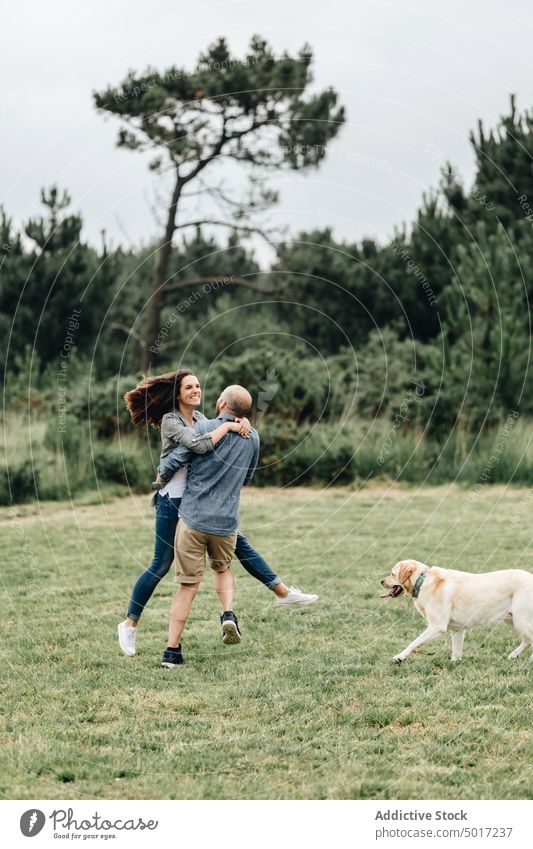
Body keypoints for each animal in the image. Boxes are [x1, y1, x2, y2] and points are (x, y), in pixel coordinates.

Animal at [378, 560, 532, 664]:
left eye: (392, 574)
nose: (381, 581)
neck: (421, 582)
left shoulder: (437, 627)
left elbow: (414, 642)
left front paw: (400, 657)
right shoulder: (457, 630)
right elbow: (456, 652)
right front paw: (454, 663)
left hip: (520, 620)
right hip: (511, 620)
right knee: (527, 640)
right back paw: (513, 655)